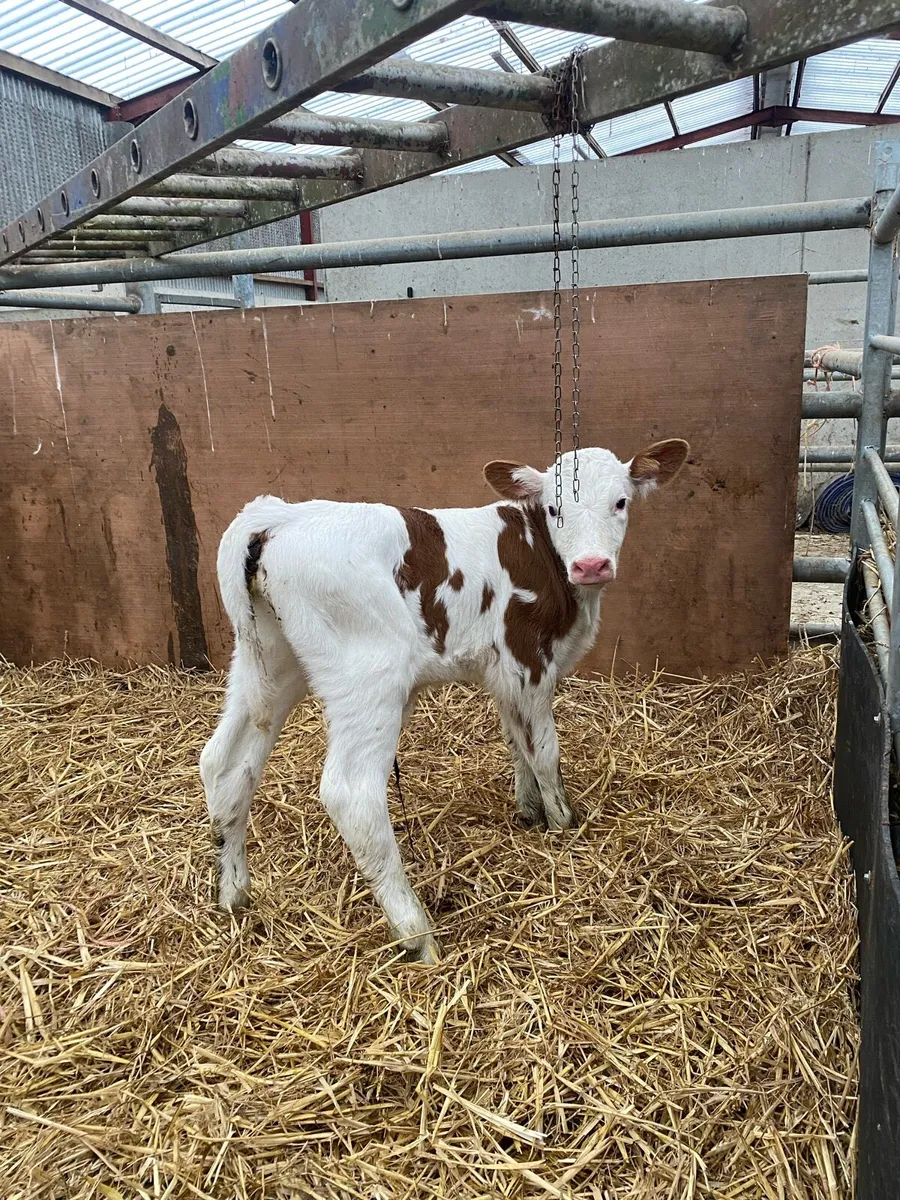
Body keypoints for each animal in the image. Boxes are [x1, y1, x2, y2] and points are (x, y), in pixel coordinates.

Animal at [200, 439, 689, 963]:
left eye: (621, 502)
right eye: (555, 508)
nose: (592, 565)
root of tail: (277, 517)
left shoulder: (503, 674)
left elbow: (517, 740)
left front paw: (529, 812)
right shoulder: (527, 660)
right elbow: (544, 749)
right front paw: (563, 824)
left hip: (269, 663)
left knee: (224, 762)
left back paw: (233, 893)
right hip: (369, 679)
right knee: (353, 795)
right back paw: (417, 934)